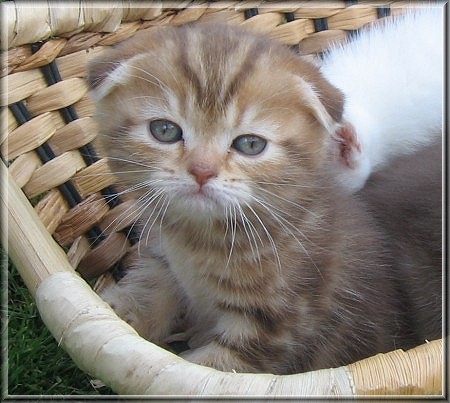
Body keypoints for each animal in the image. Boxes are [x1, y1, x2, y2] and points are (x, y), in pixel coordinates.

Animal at [89, 22, 442, 376]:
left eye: (250, 145)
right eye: (164, 130)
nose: (202, 171)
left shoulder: (281, 321)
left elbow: (217, 368)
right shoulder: (162, 248)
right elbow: (154, 286)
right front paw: (120, 314)